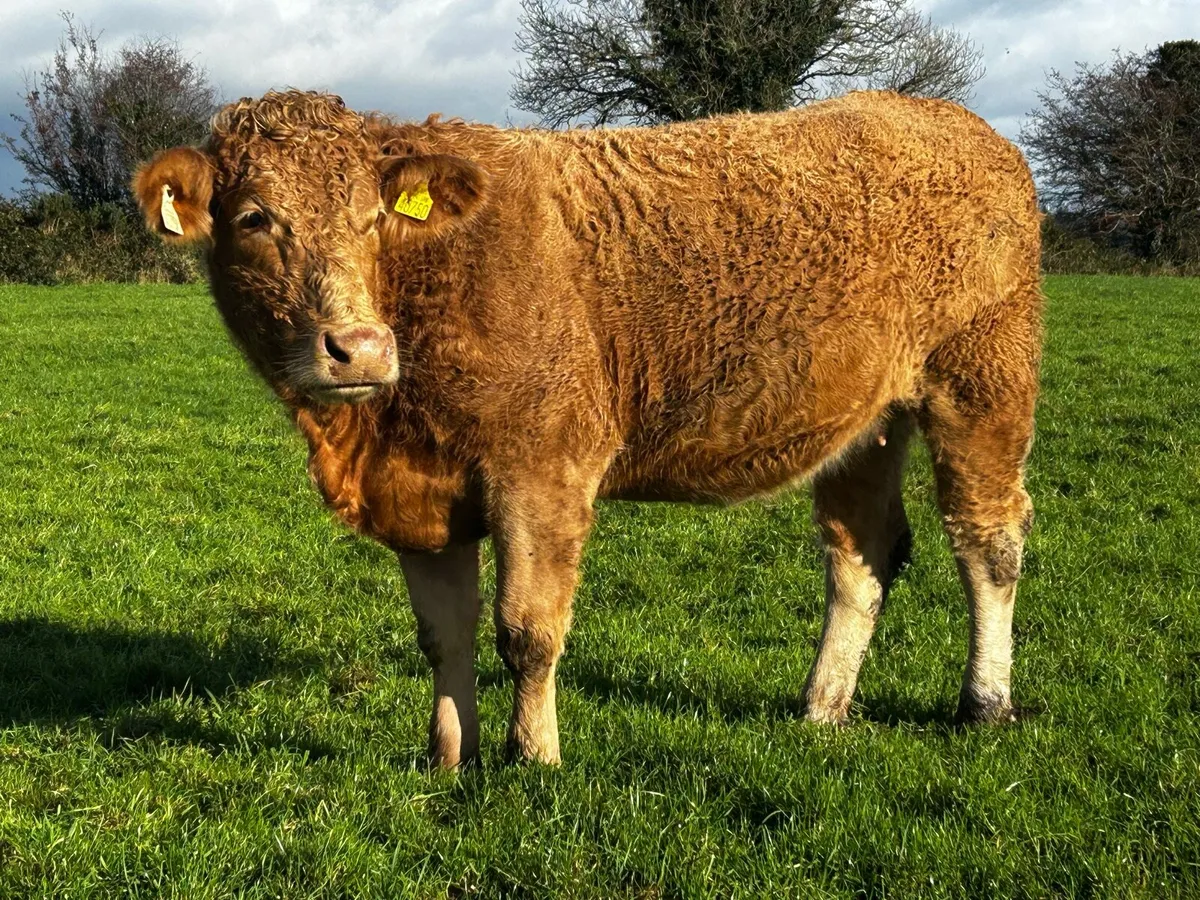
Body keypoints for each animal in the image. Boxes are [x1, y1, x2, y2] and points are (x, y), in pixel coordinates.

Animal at [134, 89, 1042, 769]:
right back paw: (822, 706)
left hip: (983, 379)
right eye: (254, 219)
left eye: (371, 217)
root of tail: (941, 114)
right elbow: (444, 635)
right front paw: (449, 758)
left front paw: (533, 757)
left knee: (988, 541)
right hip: (867, 422)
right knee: (862, 555)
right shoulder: (423, 494)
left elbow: (528, 631)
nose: (357, 347)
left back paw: (985, 701)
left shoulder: (543, 470)